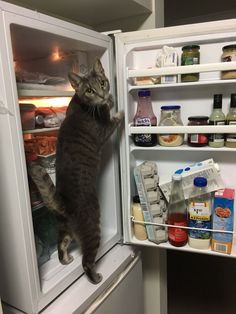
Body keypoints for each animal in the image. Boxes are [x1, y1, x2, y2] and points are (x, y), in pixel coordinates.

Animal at [28, 57, 124, 284]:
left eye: (102, 82)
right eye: (89, 90)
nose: (102, 94)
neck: (82, 105)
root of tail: (64, 204)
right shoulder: (104, 130)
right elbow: (114, 119)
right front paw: (115, 108)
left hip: (64, 228)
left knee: (61, 244)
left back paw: (66, 260)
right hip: (92, 227)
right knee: (86, 261)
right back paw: (95, 277)